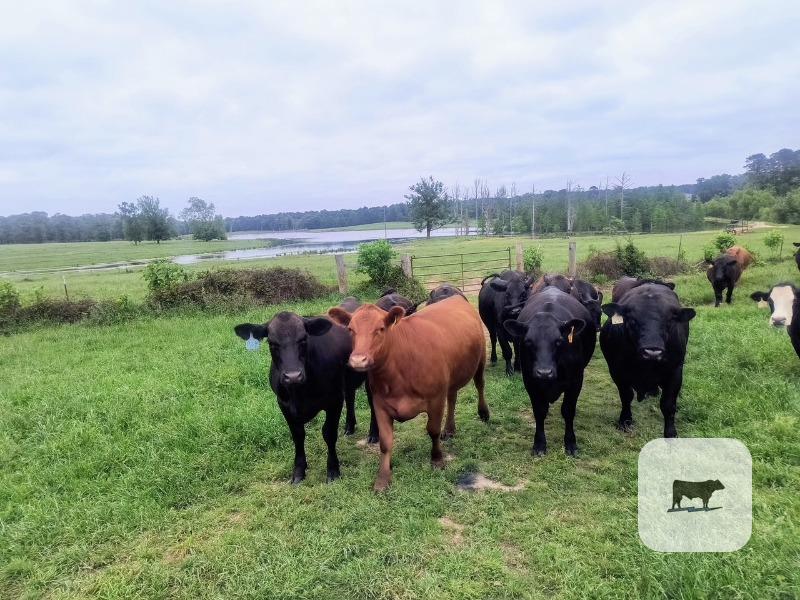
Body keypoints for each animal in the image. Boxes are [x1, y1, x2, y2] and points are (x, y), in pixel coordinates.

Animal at [234, 312, 357, 483]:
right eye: (272, 343)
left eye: (303, 339)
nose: (293, 376)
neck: (299, 393)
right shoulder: (283, 404)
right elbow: (298, 435)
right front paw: (298, 471)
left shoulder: (335, 399)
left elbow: (329, 433)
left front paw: (333, 470)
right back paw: (349, 427)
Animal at [328, 296, 490, 491]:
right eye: (351, 329)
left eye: (380, 329)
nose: (358, 360)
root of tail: (456, 297)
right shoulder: (380, 404)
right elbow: (385, 442)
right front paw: (383, 478)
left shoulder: (436, 399)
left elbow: (433, 430)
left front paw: (437, 460)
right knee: (452, 397)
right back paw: (449, 429)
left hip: (480, 360)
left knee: (479, 385)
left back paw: (484, 413)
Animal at [502, 287, 596, 456]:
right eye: (528, 341)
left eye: (558, 341)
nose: (544, 372)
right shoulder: (530, 382)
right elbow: (539, 411)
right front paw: (539, 444)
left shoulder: (576, 381)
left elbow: (568, 410)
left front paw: (570, 443)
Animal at [600, 282, 696, 437]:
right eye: (632, 319)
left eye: (670, 320)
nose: (652, 351)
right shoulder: (617, 371)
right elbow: (626, 396)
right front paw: (625, 421)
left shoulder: (675, 371)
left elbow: (668, 404)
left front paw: (671, 432)